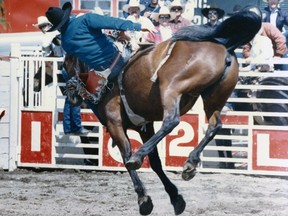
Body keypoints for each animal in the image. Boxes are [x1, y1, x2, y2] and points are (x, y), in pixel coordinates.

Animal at [62, 7, 260, 216]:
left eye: (66, 64)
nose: (70, 93)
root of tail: (225, 47)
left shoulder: (114, 123)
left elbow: (126, 156)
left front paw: (143, 199)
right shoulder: (144, 126)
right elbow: (156, 162)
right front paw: (175, 198)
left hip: (171, 87)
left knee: (171, 121)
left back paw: (140, 156)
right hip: (213, 98)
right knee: (215, 125)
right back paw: (190, 162)